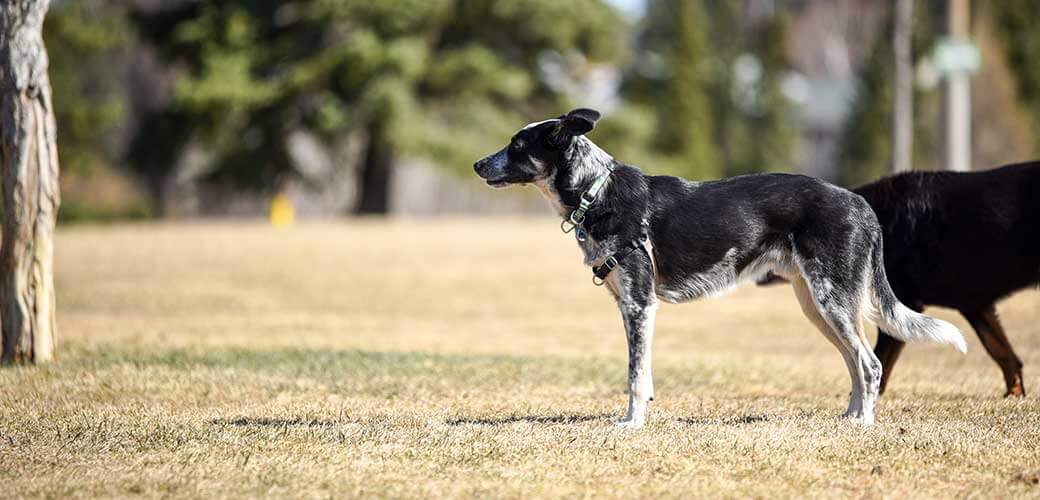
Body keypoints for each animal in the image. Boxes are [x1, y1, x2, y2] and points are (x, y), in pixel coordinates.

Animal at [474, 108, 965, 424]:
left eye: (516, 145)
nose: (478, 163)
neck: (597, 191)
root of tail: (861, 204)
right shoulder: (633, 307)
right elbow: (644, 376)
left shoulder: (638, 306)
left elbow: (633, 376)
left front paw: (631, 425)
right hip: (818, 305)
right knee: (855, 363)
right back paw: (848, 417)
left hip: (833, 301)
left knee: (870, 364)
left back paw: (863, 425)